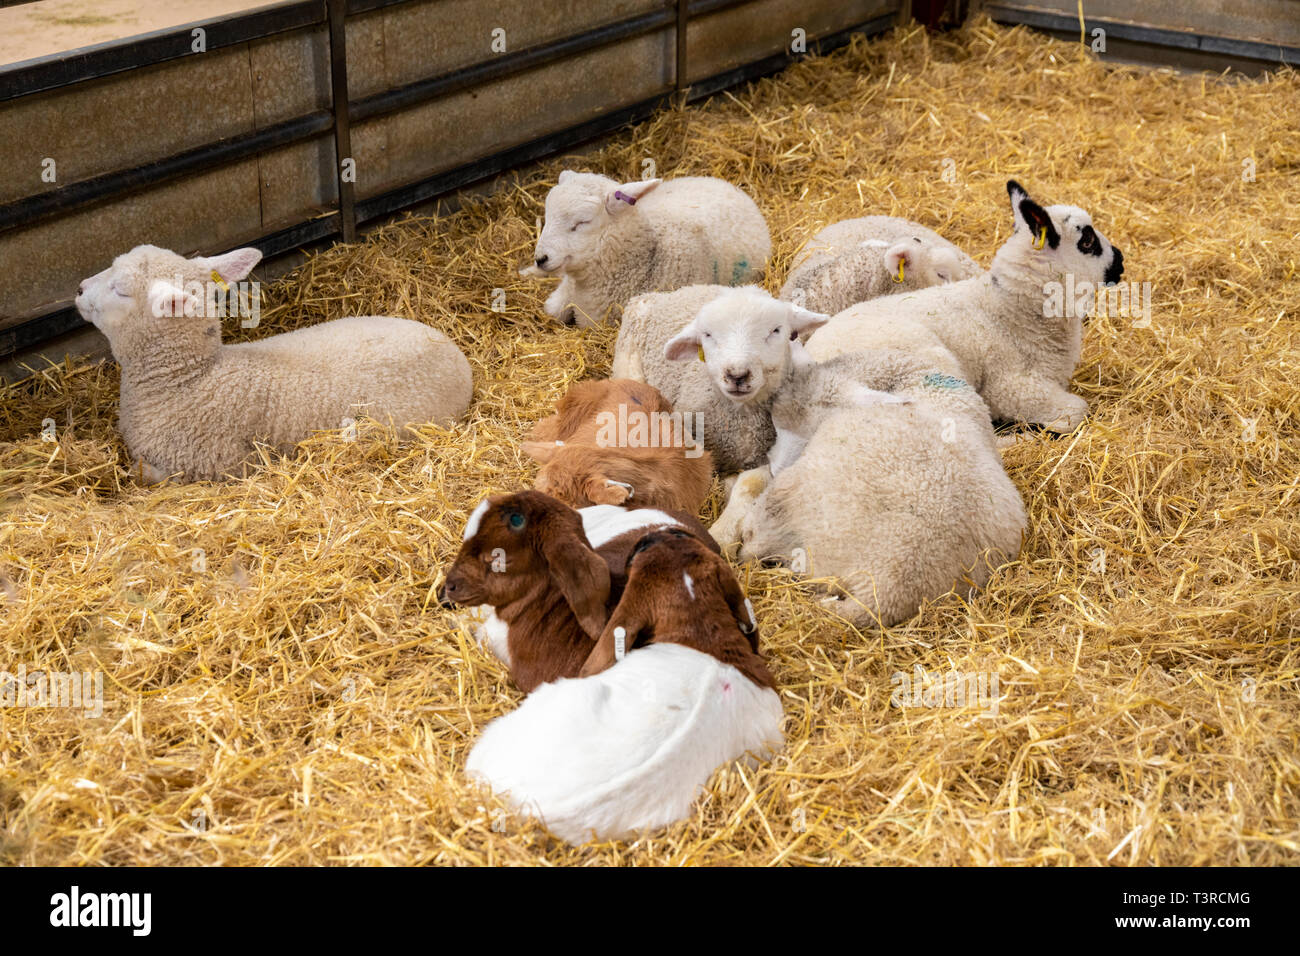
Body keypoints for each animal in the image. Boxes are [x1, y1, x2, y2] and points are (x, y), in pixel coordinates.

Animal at [76, 243, 475, 481]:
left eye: (121, 290)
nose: (79, 289)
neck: (191, 379)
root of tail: (456, 353)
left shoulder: (202, 467)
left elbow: (142, 474)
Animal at [733, 348, 1024, 629]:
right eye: (777, 424)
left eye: (812, 428)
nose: (775, 468)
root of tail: (885, 591)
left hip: (795, 499)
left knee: (755, 543)